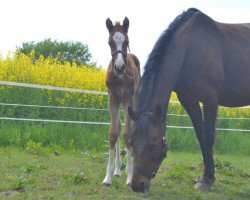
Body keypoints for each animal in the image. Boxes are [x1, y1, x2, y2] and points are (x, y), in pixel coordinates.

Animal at [128, 8, 250, 192]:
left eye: (153, 142)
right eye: (132, 141)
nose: (137, 185)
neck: (191, 48)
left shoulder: (210, 100)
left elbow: (208, 137)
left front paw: (206, 180)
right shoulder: (188, 100)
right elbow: (200, 135)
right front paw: (208, 176)